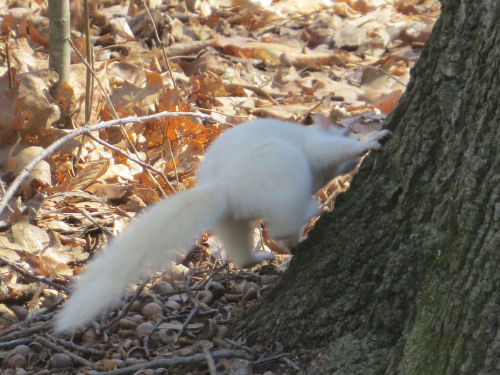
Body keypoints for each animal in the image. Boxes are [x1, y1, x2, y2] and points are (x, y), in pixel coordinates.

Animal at [54, 117, 390, 332]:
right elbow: (335, 151)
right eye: (345, 132)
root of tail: (225, 187)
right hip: (283, 174)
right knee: (282, 227)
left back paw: (264, 254)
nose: (354, 162)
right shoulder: (320, 148)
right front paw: (371, 141)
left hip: (231, 221)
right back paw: (308, 214)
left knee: (243, 254)